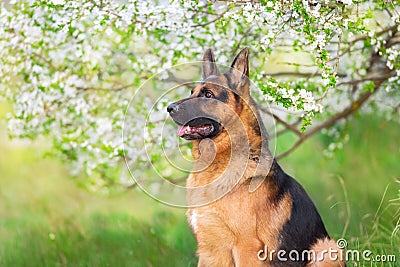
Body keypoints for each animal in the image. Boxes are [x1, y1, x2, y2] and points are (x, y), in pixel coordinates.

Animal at [166, 48, 344, 267]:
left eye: (208, 94)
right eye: (191, 92)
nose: (169, 108)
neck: (217, 163)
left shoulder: (247, 248)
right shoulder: (210, 252)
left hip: (326, 247)